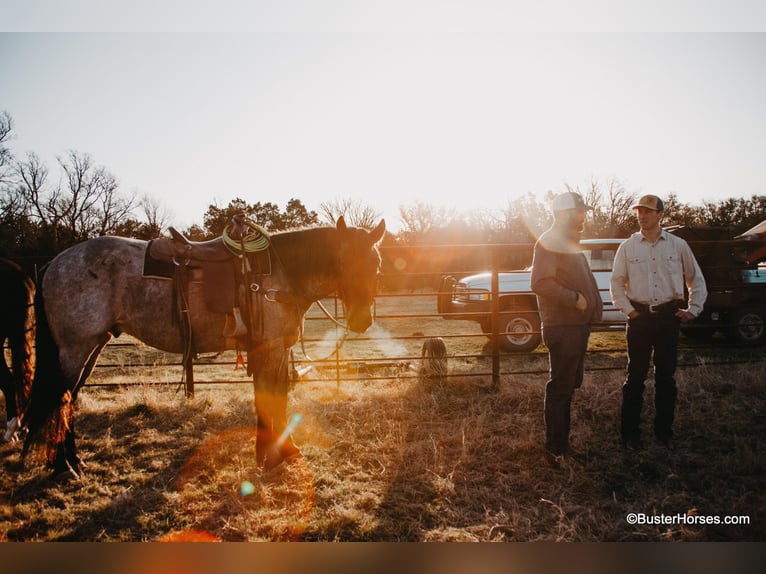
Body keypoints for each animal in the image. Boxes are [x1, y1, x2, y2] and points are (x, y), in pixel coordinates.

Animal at [21, 218, 388, 480]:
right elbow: (271, 399)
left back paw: (70, 463)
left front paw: (271, 453)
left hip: (92, 347)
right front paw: (275, 455)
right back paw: (65, 467)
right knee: (61, 398)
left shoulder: (273, 349)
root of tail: (54, 263)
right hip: (75, 349)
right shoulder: (269, 348)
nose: (361, 321)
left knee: (68, 400)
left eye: (376, 266)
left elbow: (273, 397)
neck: (280, 274)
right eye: (345, 263)